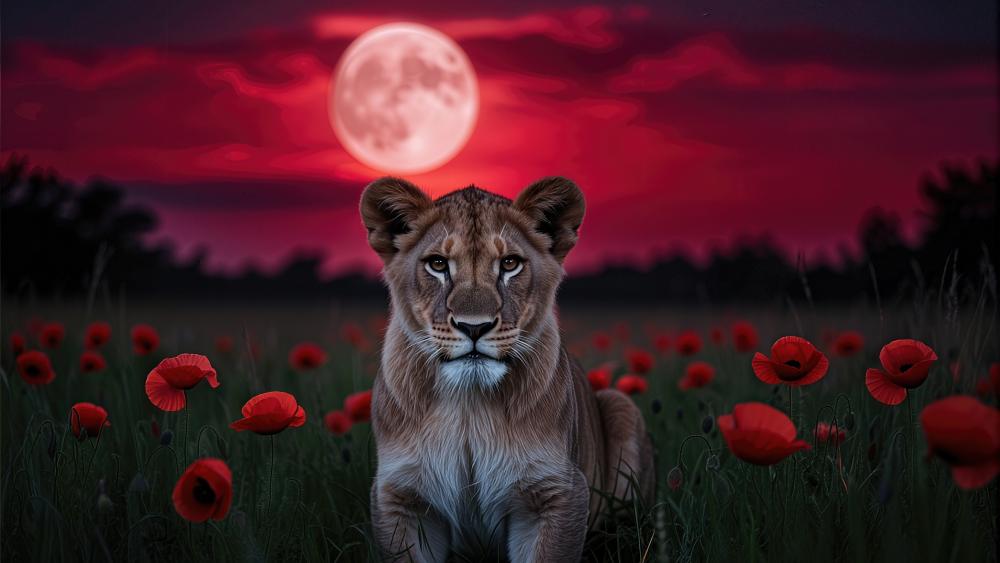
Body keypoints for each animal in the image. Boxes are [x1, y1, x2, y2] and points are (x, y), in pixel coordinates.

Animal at [360, 176, 654, 562]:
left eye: (510, 263)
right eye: (437, 264)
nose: (474, 326)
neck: (468, 407)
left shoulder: (555, 492)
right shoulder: (400, 498)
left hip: (621, 404)